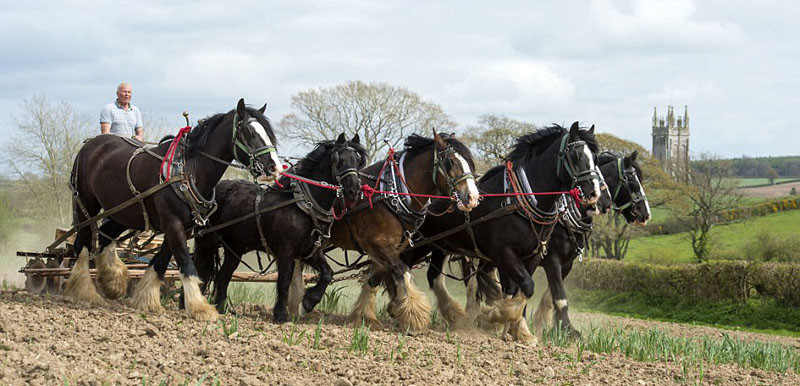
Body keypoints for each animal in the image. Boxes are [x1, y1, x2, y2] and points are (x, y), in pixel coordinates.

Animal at [66, 98, 284, 322]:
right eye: (249, 133)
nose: (274, 167)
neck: (189, 171)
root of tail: (90, 144)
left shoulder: (183, 227)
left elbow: (161, 262)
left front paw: (147, 299)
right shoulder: (172, 223)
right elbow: (186, 263)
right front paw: (200, 308)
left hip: (124, 211)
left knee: (105, 235)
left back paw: (113, 281)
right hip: (86, 204)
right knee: (83, 243)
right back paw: (85, 290)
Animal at [192, 134, 368, 322]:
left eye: (358, 161)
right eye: (339, 160)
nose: (354, 191)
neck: (302, 205)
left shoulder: (310, 251)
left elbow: (328, 273)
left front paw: (309, 301)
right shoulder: (285, 251)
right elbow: (283, 281)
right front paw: (281, 315)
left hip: (235, 248)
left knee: (223, 275)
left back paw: (222, 307)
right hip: (206, 241)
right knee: (198, 268)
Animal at [328, 133, 478, 332]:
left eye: (469, 161)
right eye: (450, 162)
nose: (473, 197)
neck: (391, 193)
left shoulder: (390, 248)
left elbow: (374, 279)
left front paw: (365, 316)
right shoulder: (378, 244)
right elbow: (403, 271)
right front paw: (415, 317)